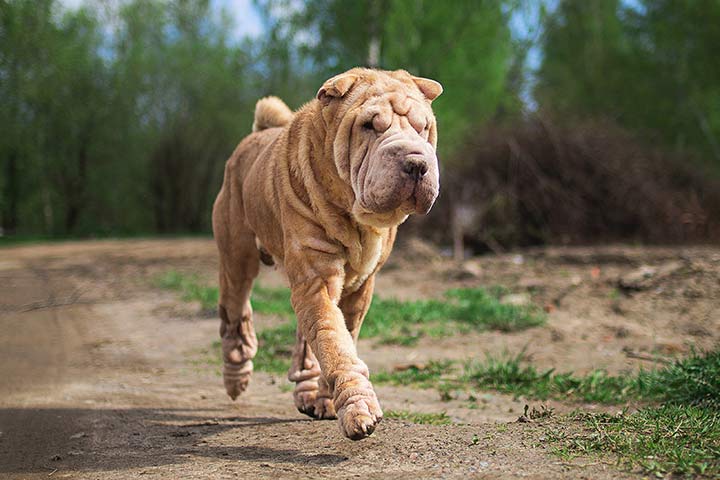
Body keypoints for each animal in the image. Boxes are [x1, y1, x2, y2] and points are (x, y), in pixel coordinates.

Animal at [211, 66, 442, 438]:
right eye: (369, 126)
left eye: (422, 126)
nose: (416, 163)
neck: (355, 218)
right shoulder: (316, 277)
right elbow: (334, 343)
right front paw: (360, 410)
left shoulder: (358, 287)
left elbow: (335, 339)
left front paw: (330, 401)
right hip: (237, 255)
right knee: (234, 312)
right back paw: (236, 377)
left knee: (304, 341)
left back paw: (307, 394)